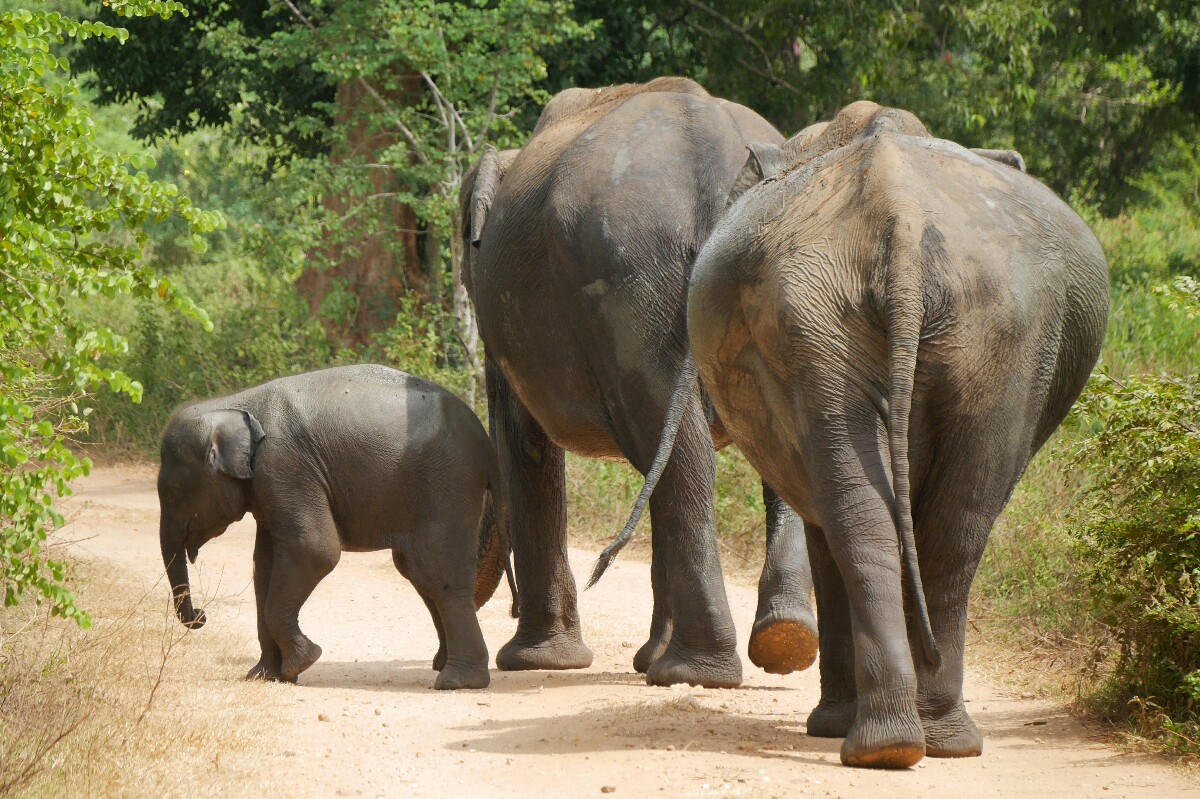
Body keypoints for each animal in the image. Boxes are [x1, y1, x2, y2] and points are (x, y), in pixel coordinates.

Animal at [157, 364, 508, 686]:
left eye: (173, 492)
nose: (201, 615)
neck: (232, 405)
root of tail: (487, 444)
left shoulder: (284, 466)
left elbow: (314, 550)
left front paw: (303, 662)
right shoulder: (269, 488)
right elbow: (265, 566)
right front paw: (266, 676)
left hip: (448, 484)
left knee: (436, 573)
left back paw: (457, 681)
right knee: (418, 573)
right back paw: (443, 666)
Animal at [463, 76, 820, 686]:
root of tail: (717, 163)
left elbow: (525, 445)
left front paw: (536, 662)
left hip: (629, 276)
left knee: (674, 449)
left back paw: (699, 669)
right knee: (701, 450)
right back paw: (778, 646)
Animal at [691, 102, 1108, 763]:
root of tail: (900, 216)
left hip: (964, 324)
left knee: (906, 521)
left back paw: (902, 741)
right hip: (914, 326)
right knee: (935, 522)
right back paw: (905, 742)